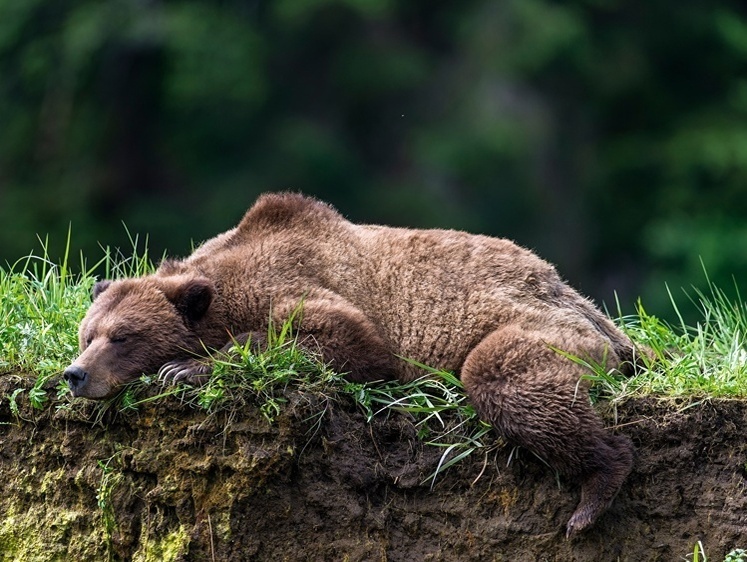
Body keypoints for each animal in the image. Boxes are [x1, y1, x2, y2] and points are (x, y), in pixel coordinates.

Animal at [62, 191, 636, 532]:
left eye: (122, 337)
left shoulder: (308, 285)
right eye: (87, 334)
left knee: (504, 376)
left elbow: (344, 339)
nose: (75, 374)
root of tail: (569, 290)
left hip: (540, 324)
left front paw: (187, 367)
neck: (225, 289)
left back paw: (592, 494)